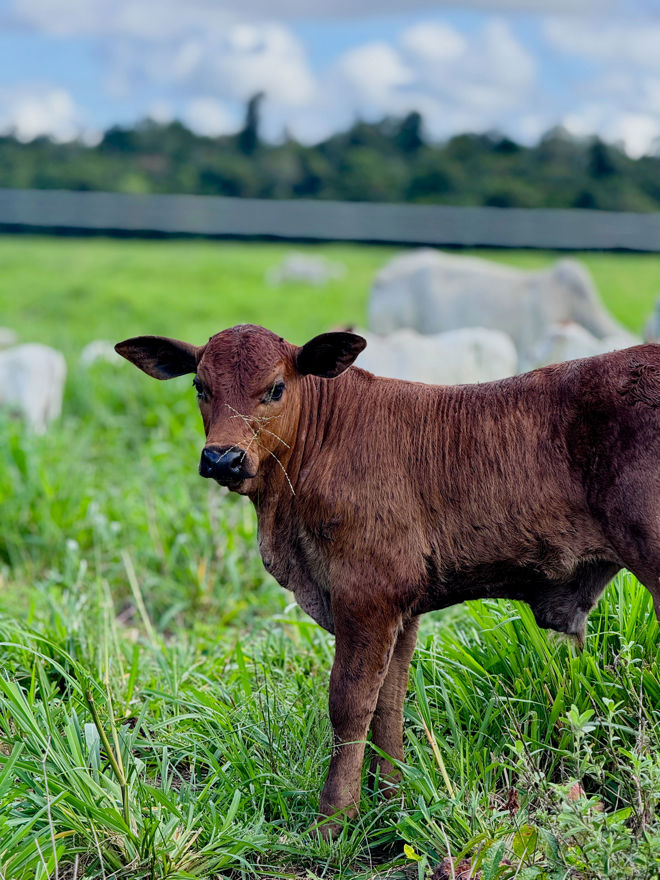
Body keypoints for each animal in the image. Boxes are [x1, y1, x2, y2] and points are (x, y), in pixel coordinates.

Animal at [115, 324, 660, 837]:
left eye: (276, 388)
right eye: (199, 385)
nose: (222, 458)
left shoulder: (366, 596)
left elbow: (350, 702)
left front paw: (334, 818)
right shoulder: (401, 608)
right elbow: (390, 700)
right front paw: (391, 798)